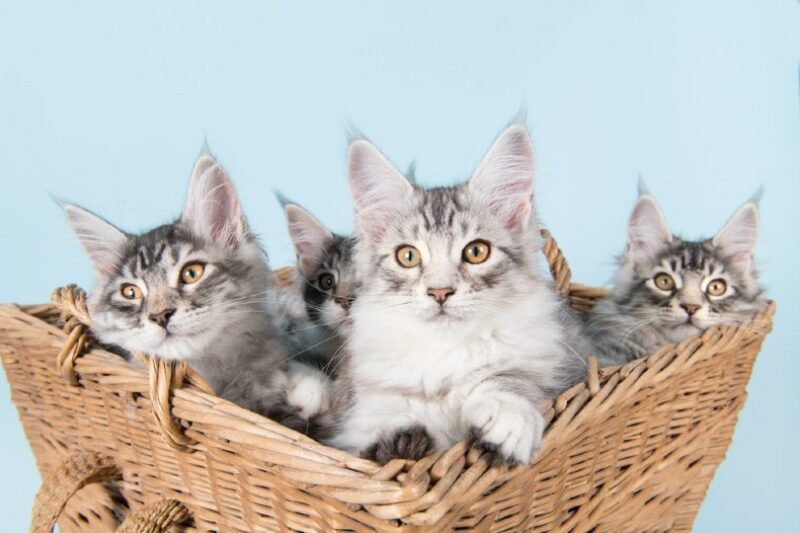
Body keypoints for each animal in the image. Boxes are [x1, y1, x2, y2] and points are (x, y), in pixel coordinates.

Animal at [324, 122, 588, 464]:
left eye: (476, 252)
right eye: (408, 256)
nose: (440, 291)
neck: (446, 352)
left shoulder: (562, 363)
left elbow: (511, 378)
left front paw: (509, 414)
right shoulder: (359, 419)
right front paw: (402, 443)